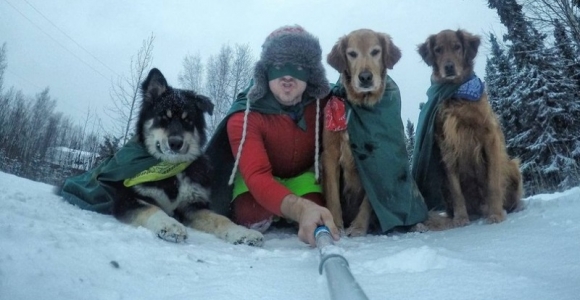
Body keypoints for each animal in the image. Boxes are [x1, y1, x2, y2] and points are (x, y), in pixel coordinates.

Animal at [113, 68, 262, 246]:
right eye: (164, 117)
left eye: (187, 120)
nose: (175, 143)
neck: (169, 169)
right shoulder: (128, 199)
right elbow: (152, 209)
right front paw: (170, 225)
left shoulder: (192, 206)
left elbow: (220, 219)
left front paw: (242, 233)